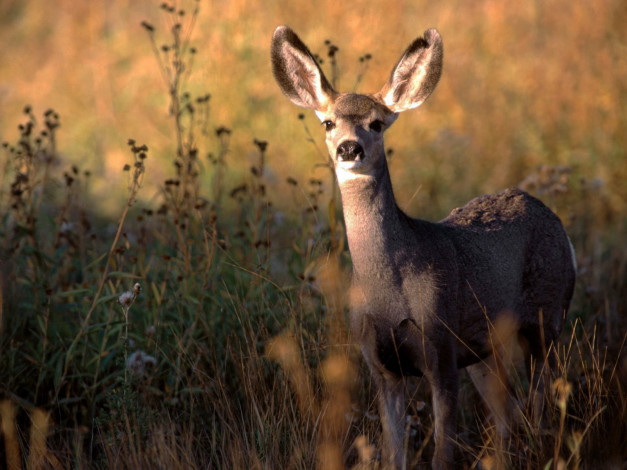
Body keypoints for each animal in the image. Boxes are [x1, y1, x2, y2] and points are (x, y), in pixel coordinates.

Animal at [272, 25, 576, 470]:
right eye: (328, 122)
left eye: (377, 123)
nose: (349, 148)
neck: (390, 292)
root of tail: (555, 219)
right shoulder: (381, 366)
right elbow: (393, 453)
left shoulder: (440, 347)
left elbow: (442, 454)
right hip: (485, 350)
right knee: (510, 415)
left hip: (546, 319)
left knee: (546, 411)